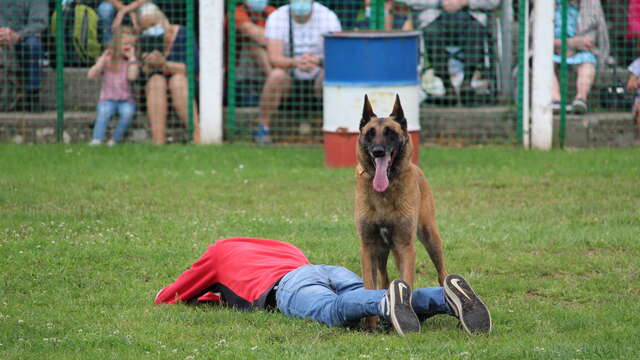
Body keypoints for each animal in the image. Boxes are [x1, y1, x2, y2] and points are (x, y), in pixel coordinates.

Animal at [352, 95, 448, 330]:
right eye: (370, 133)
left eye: (390, 133)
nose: (378, 151)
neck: (385, 193)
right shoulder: (368, 248)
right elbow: (370, 285)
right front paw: (370, 325)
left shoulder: (406, 248)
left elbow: (406, 282)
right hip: (382, 252)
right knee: (384, 278)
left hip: (430, 238)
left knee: (442, 273)